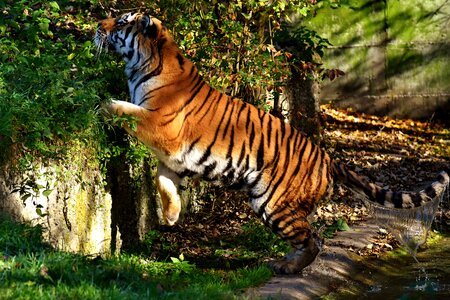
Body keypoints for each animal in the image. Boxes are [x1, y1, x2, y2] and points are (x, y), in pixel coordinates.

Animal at [93, 12, 448, 274]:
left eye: (121, 23)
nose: (97, 26)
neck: (144, 63)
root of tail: (326, 156)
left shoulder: (162, 128)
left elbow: (125, 110)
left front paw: (101, 105)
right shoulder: (172, 158)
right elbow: (163, 183)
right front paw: (170, 215)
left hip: (274, 203)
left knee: (313, 239)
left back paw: (288, 268)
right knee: (308, 236)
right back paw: (284, 262)